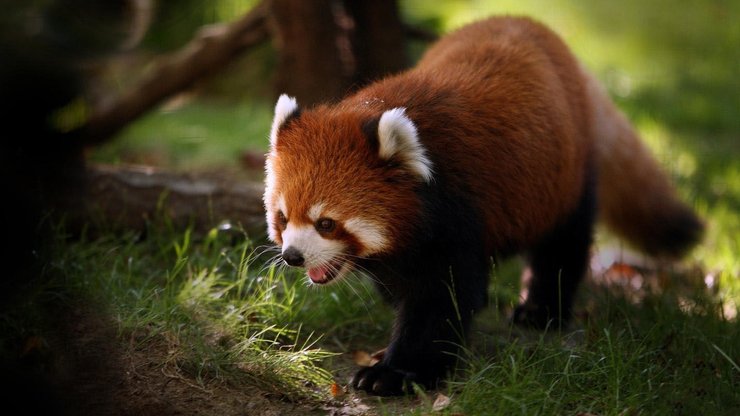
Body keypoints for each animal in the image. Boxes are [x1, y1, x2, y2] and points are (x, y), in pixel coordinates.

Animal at [264, 15, 704, 394]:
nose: (293, 256)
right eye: (283, 218)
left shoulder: (458, 214)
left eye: (326, 223)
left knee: (563, 243)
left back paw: (542, 311)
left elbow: (440, 300)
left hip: (564, 177)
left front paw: (396, 373)